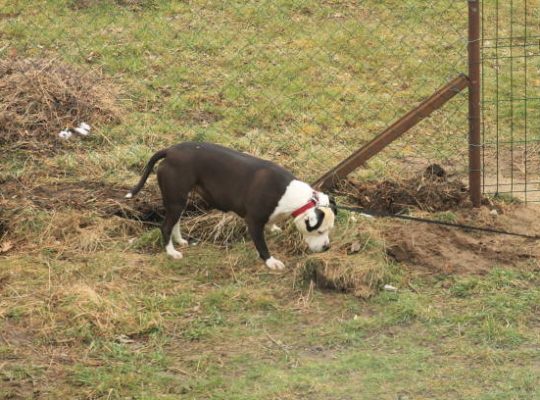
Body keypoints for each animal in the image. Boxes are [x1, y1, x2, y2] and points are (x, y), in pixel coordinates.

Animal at [126, 142, 338, 270]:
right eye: (319, 231)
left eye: (330, 230)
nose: (327, 247)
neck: (290, 194)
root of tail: (171, 151)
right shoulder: (253, 222)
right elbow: (262, 245)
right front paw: (271, 262)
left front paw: (274, 228)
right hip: (176, 199)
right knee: (165, 226)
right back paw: (171, 251)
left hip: (178, 200)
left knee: (174, 222)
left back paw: (179, 241)